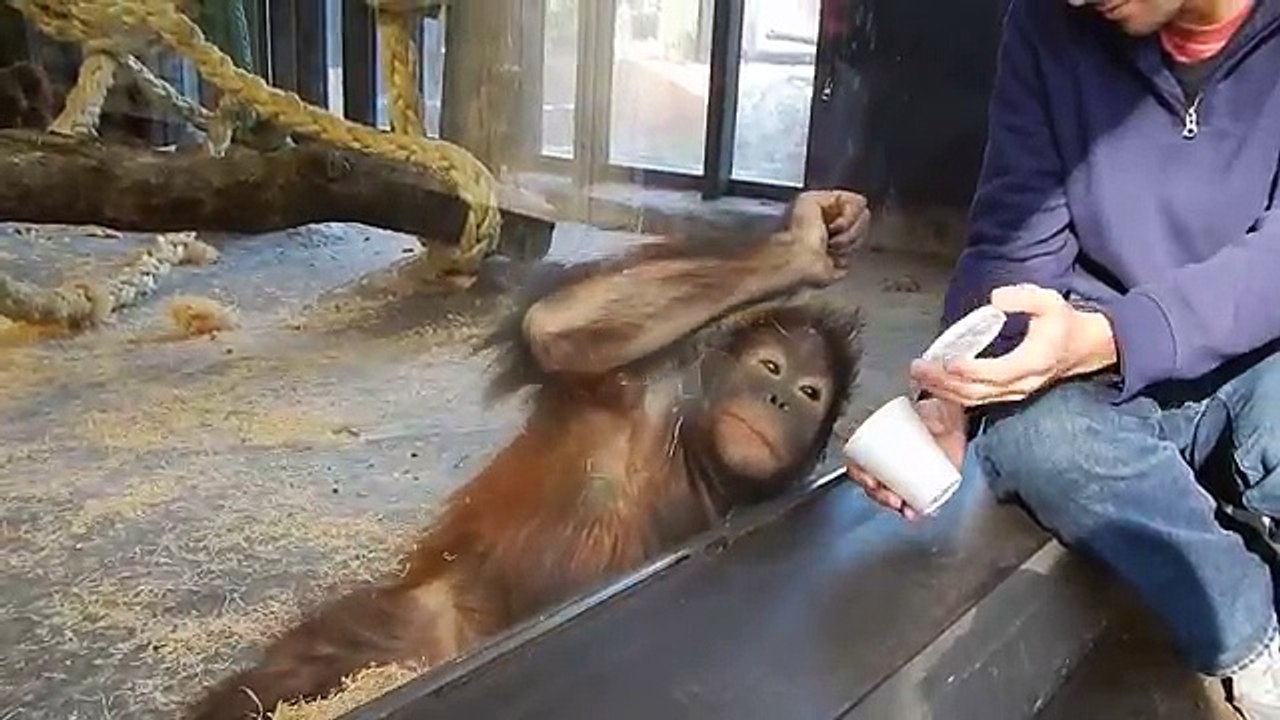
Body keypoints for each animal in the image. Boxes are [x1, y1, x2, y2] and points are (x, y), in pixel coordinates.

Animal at [184, 190, 872, 720]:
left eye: (809, 393)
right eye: (770, 368)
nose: (778, 399)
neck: (695, 466)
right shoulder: (625, 400)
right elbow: (555, 329)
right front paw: (803, 244)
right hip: (414, 619)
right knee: (289, 673)